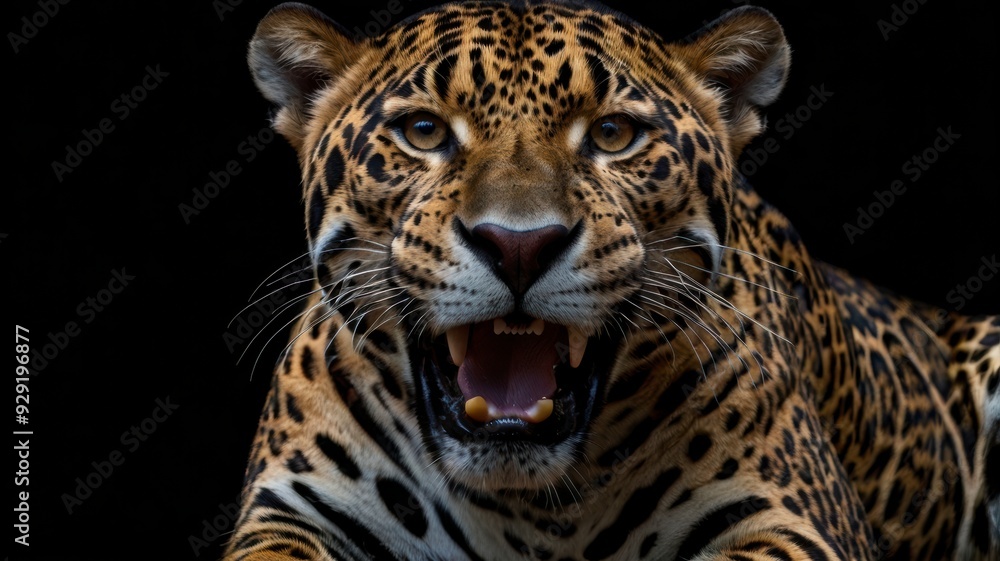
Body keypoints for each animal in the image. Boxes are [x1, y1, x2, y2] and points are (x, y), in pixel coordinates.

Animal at [222, 1, 1000, 559]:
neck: (529, 507)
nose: (519, 244)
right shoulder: (290, 512)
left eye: (613, 136)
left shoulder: (788, 519)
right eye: (422, 132)